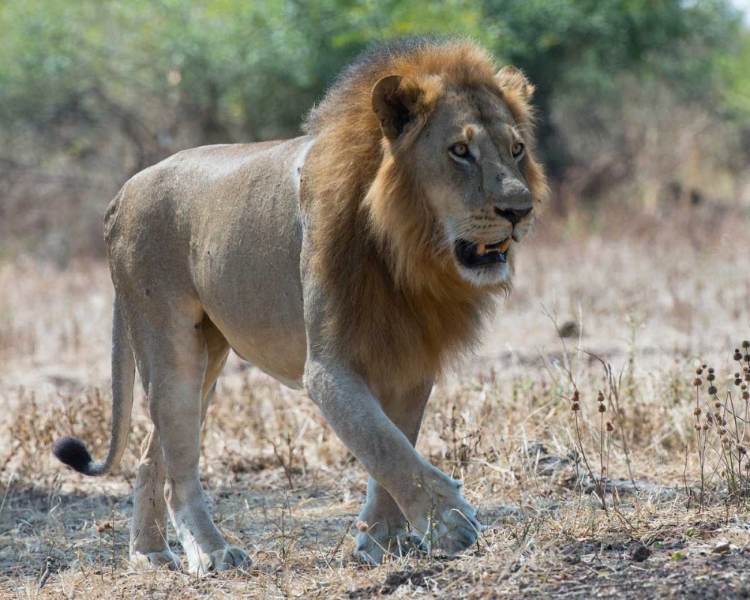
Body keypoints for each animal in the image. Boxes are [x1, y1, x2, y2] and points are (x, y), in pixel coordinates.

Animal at [51, 38, 548, 576]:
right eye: (460, 151)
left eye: (516, 150)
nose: (520, 211)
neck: (407, 250)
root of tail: (120, 194)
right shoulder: (327, 367)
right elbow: (383, 444)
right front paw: (450, 523)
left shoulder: (410, 357)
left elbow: (396, 441)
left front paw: (382, 539)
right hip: (170, 348)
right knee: (179, 467)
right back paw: (212, 552)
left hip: (209, 354)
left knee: (151, 455)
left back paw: (148, 552)